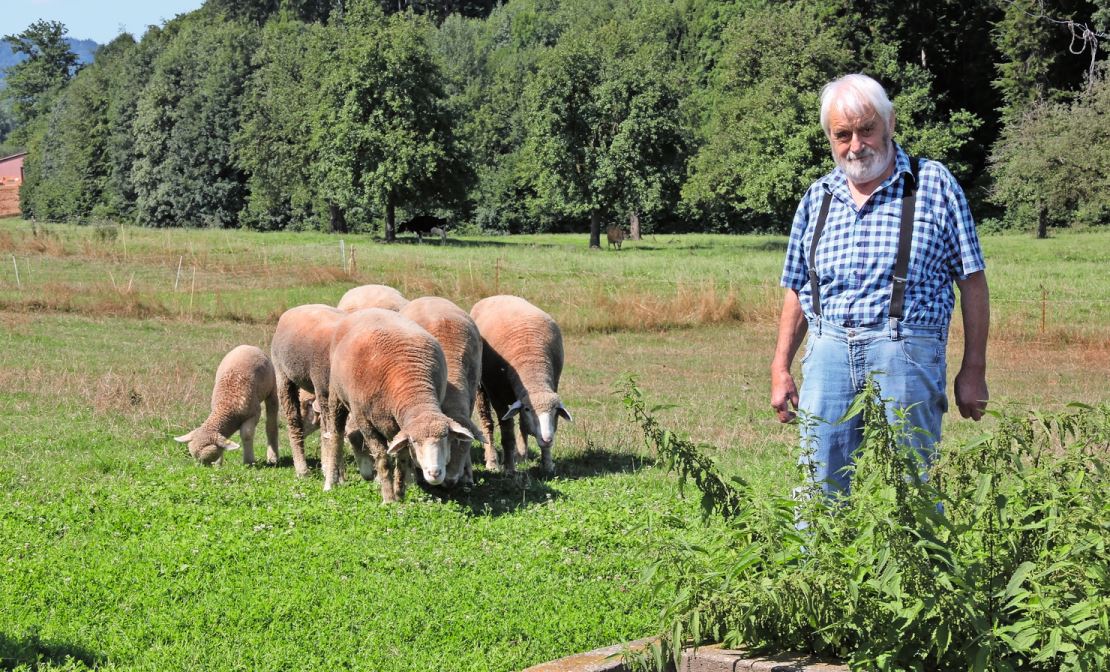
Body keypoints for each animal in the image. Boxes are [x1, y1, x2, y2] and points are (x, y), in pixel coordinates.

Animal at [268, 304, 346, 477]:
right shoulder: (324, 389)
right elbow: (330, 431)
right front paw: (331, 469)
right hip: (283, 375)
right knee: (294, 420)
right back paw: (302, 469)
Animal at [324, 308, 472, 497]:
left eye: (446, 437)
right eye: (415, 441)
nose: (435, 473)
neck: (413, 391)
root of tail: (368, 309)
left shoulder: (400, 427)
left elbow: (402, 457)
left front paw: (400, 492)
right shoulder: (366, 422)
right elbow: (383, 459)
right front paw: (389, 497)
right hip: (336, 395)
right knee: (336, 438)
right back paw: (330, 482)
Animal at [470, 293, 572, 470]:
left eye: (554, 411)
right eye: (528, 409)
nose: (547, 439)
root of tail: (497, 295)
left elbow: (528, 425)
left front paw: (546, 463)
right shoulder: (496, 395)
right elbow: (507, 431)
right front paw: (509, 467)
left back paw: (520, 455)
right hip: (480, 388)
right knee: (487, 422)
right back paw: (492, 461)